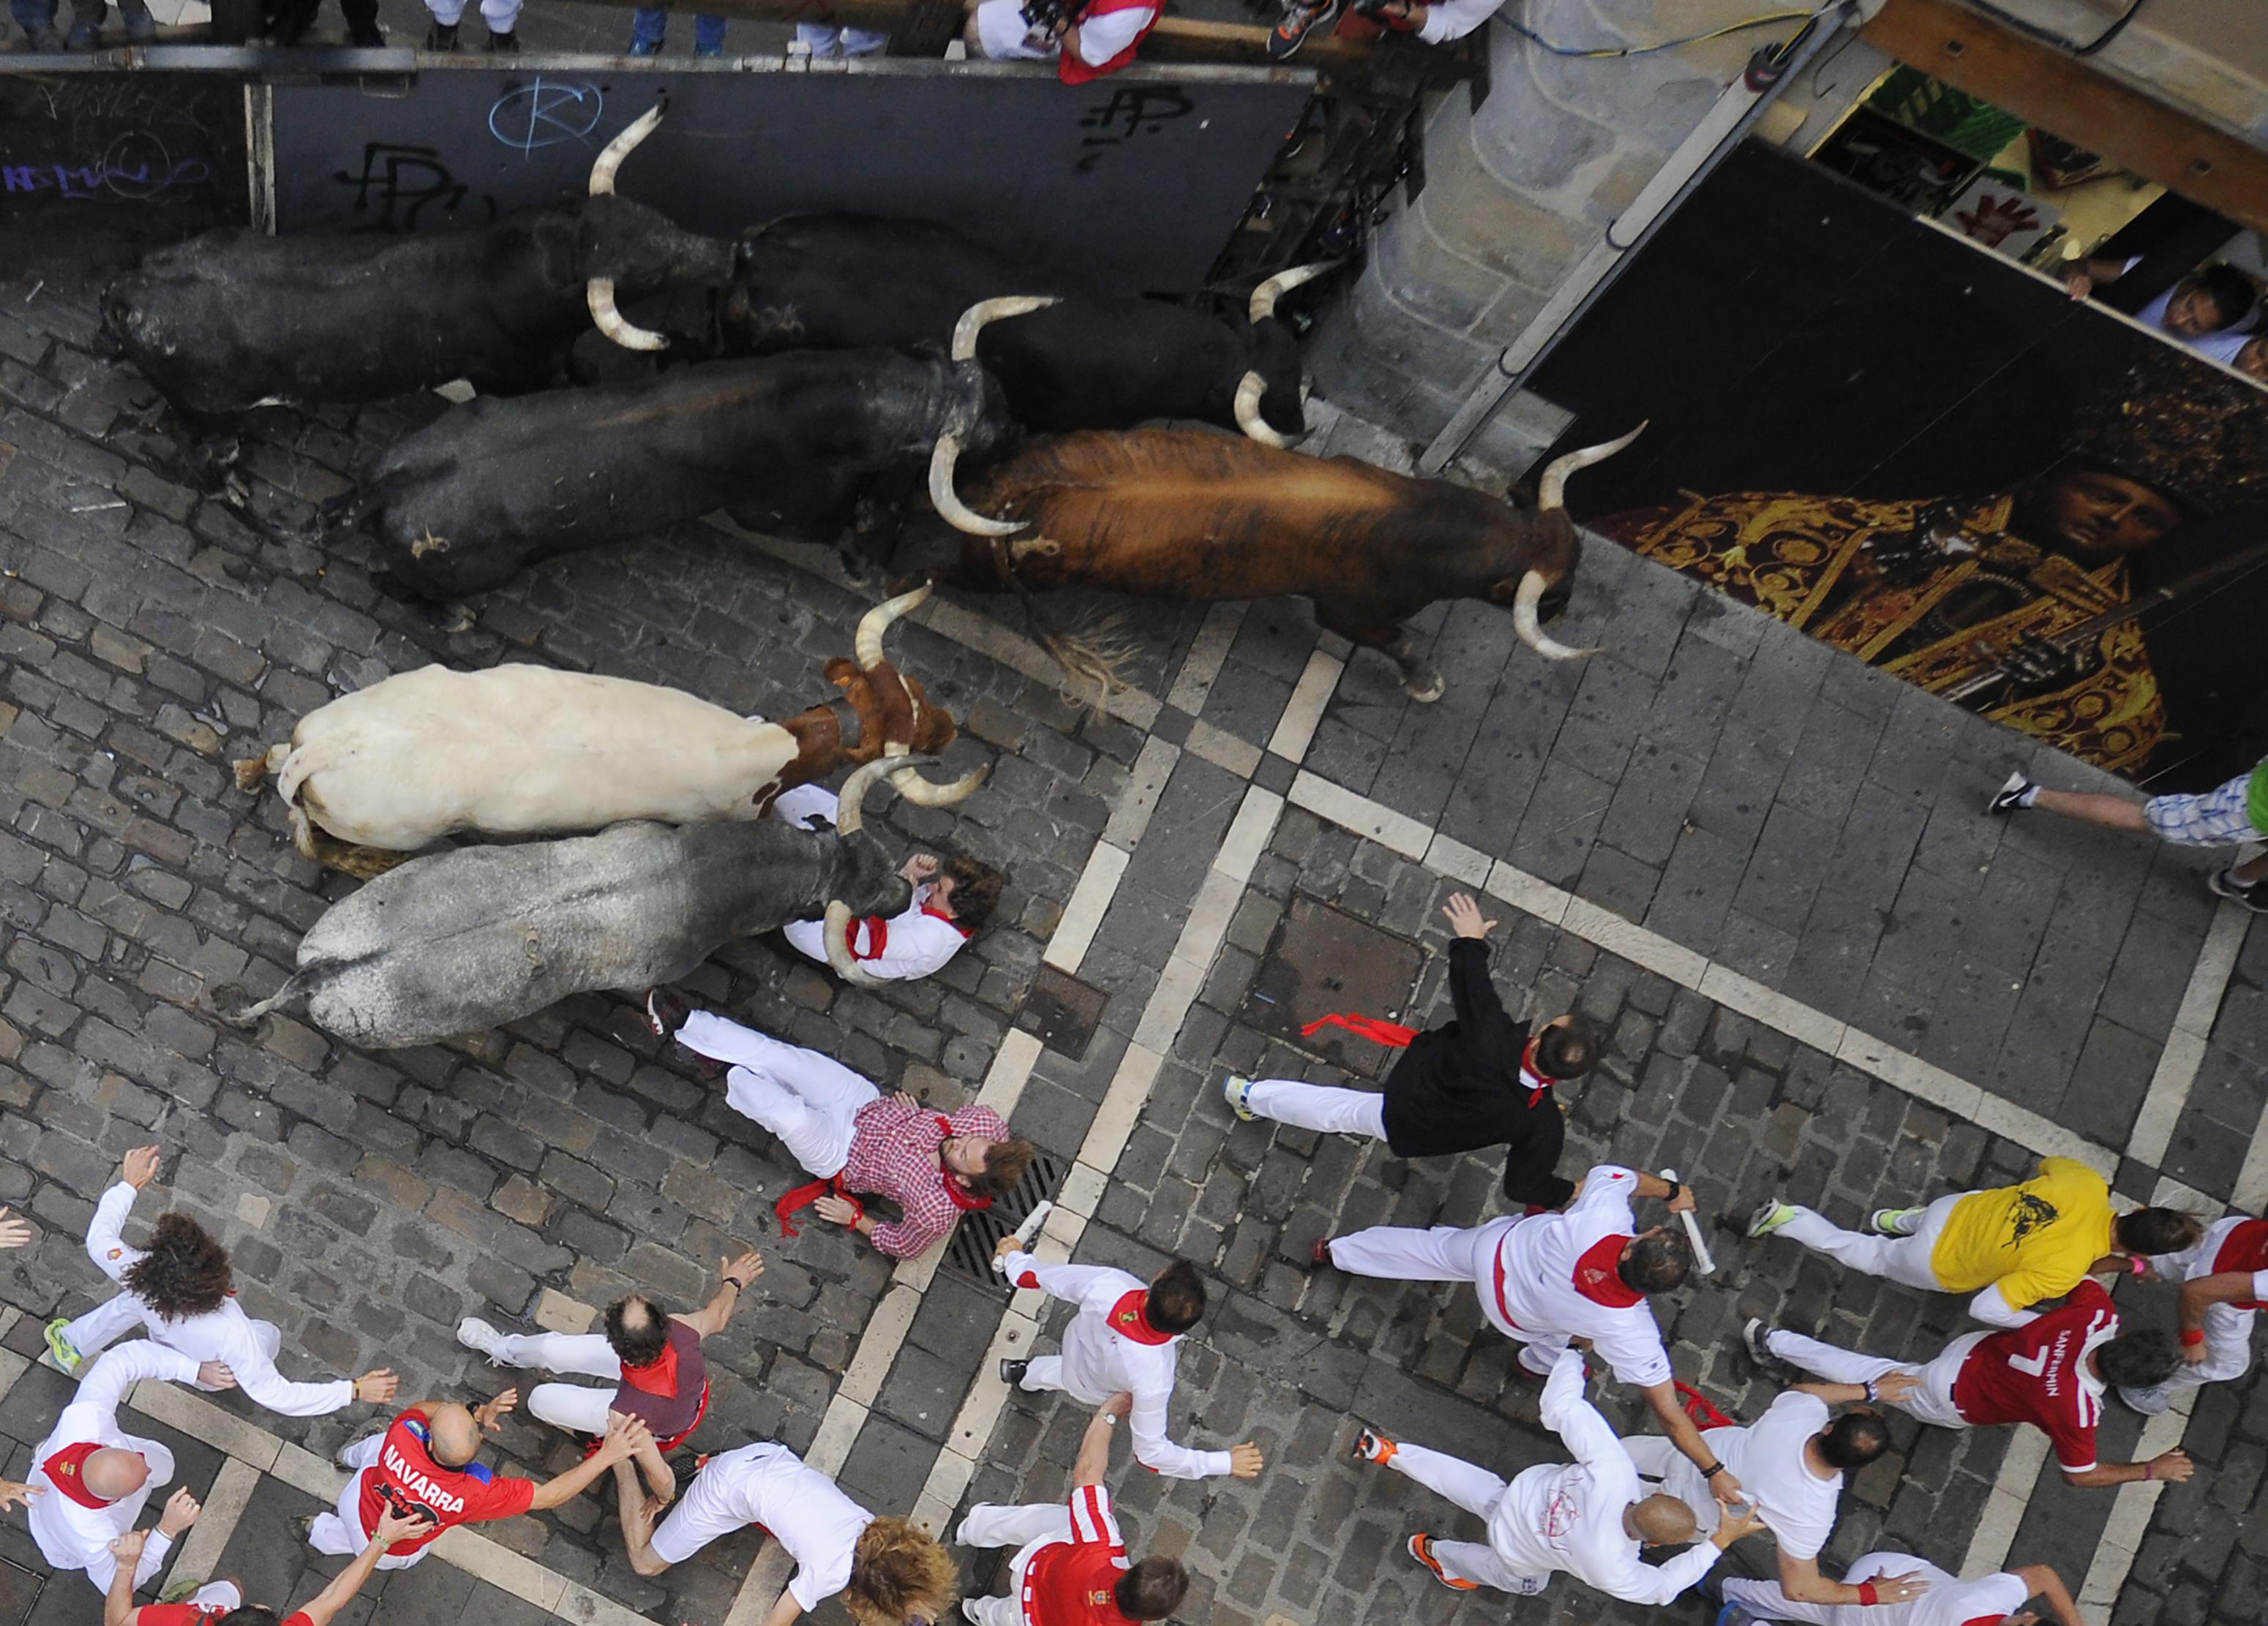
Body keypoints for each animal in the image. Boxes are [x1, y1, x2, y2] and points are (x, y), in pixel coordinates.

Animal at [920, 419, 1651, 698]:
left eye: (1578, 557)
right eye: (1551, 594)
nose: (1567, 609)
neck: (1429, 524)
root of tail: (1014, 493)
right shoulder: (1348, 610)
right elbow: (1399, 640)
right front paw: (1424, 681)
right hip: (987, 577)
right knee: (936, 574)